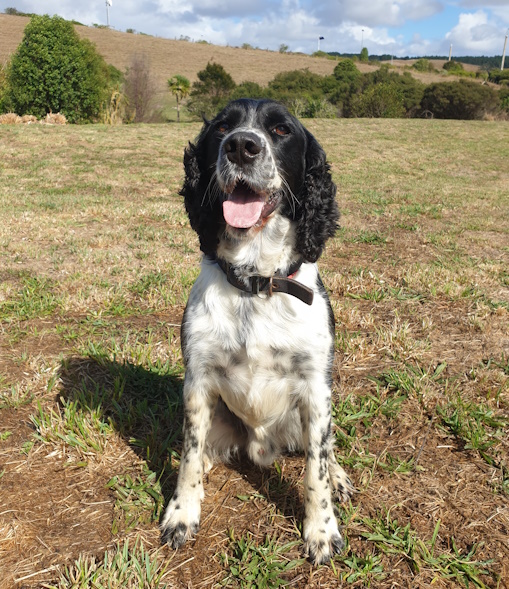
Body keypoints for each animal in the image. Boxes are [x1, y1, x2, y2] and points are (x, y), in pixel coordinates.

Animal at [161, 99, 352, 564]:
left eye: (281, 130)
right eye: (222, 127)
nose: (241, 146)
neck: (256, 280)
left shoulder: (316, 387)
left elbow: (316, 471)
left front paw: (321, 531)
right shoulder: (197, 382)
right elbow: (189, 456)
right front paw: (182, 513)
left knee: (324, 449)